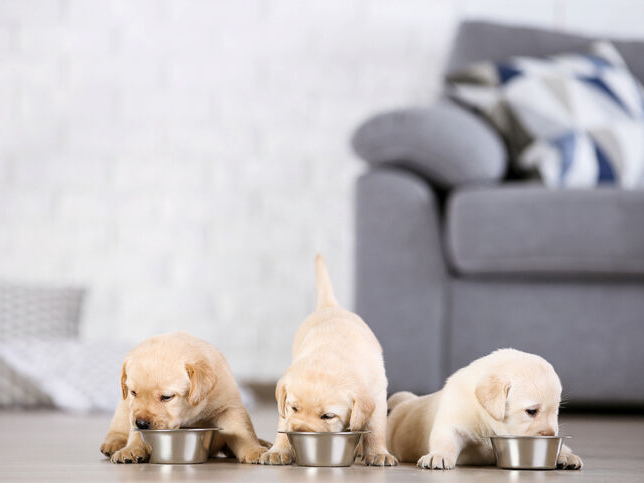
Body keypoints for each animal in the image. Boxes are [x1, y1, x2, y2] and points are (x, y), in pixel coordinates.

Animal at [98, 332, 270, 466]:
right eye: (134, 393)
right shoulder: (132, 410)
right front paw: (131, 449)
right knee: (118, 428)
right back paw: (114, 443)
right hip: (123, 407)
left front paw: (254, 450)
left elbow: (242, 430)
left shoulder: (228, 407)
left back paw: (263, 442)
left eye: (166, 397)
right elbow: (136, 434)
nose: (141, 423)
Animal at [260, 255, 394, 466]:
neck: (330, 356)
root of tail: (331, 306)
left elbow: (376, 428)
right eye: (294, 408)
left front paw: (378, 453)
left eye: (328, 416)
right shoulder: (285, 407)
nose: (300, 431)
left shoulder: (378, 395)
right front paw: (279, 450)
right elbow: (283, 422)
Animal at [388, 350, 584, 470]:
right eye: (531, 411)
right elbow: (446, 440)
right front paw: (438, 455)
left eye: (556, 411)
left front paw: (564, 454)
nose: (551, 434)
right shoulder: (454, 419)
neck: (488, 421)